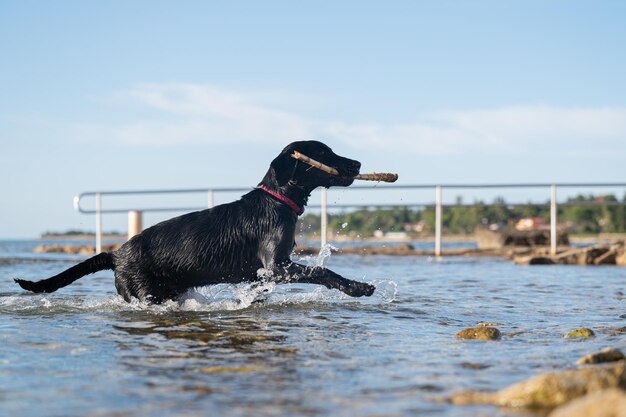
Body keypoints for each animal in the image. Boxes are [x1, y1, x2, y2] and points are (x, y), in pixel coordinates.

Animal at [14, 141, 376, 302]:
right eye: (324, 154)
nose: (358, 163)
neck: (276, 201)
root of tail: (115, 254)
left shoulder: (266, 273)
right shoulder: (277, 266)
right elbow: (323, 272)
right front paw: (357, 287)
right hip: (147, 294)